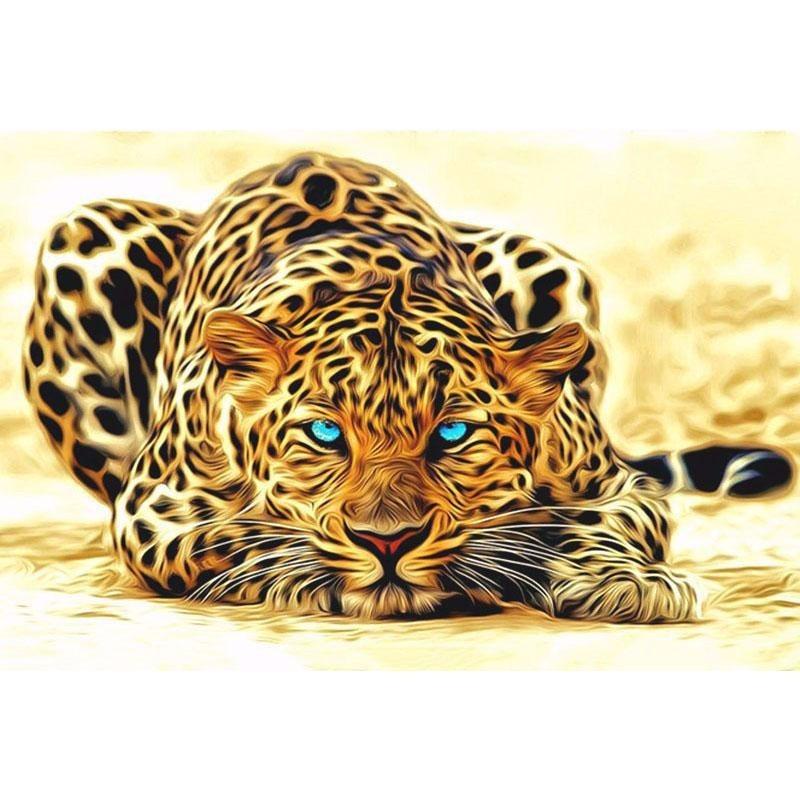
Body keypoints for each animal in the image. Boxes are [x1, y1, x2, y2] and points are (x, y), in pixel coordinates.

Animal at [21, 151, 794, 621]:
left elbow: (589, 523)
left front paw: (620, 581)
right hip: (83, 233)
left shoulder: (618, 486)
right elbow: (239, 537)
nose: (387, 543)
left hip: (547, 261)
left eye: (453, 433)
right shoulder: (155, 508)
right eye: (325, 433)